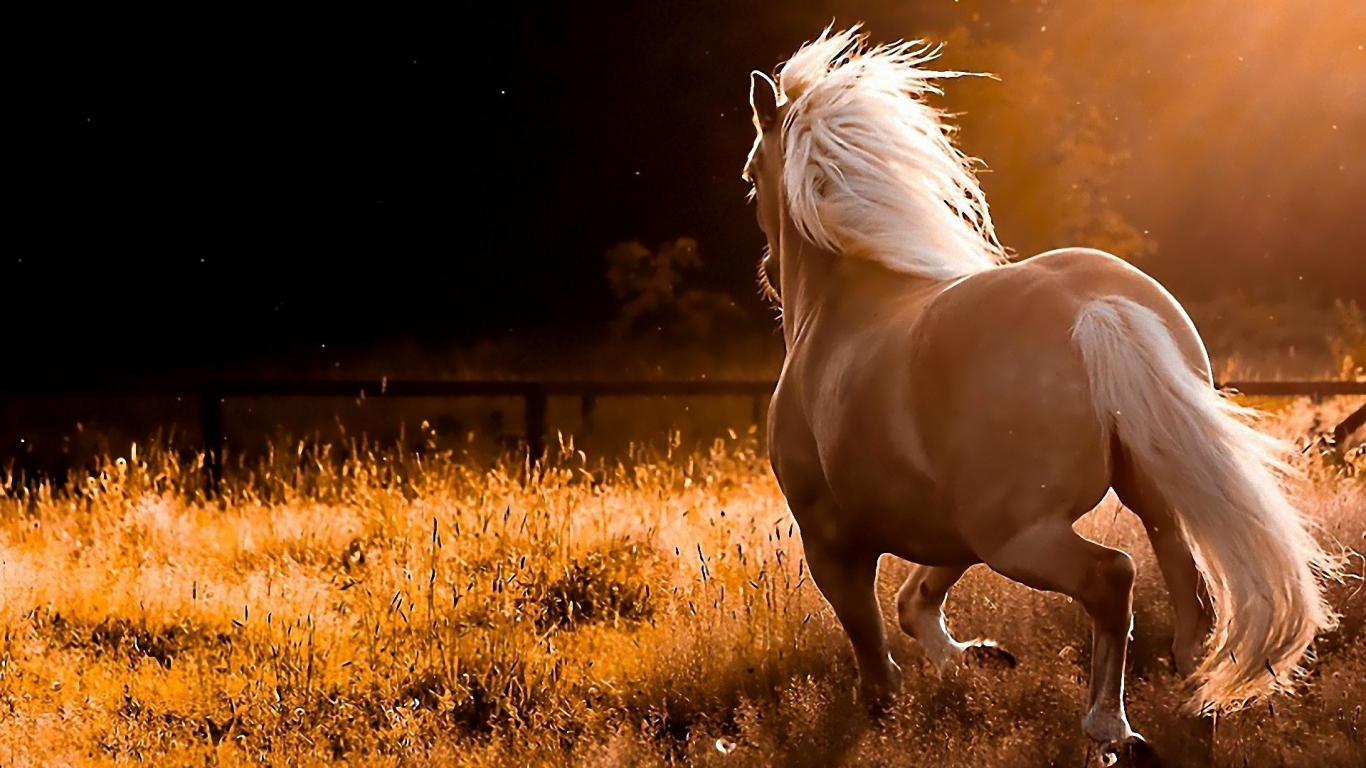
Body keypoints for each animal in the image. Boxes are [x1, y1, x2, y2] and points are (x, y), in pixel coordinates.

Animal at [743, 27, 1337, 759]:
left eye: (751, 176)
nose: (769, 275)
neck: (838, 309)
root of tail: (1096, 308)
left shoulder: (832, 541)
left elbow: (873, 650)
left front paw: (887, 716)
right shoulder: (949, 528)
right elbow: (916, 603)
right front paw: (977, 659)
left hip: (1020, 537)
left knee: (1113, 578)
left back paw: (1113, 728)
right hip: (1145, 499)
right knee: (1190, 598)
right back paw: (1196, 704)